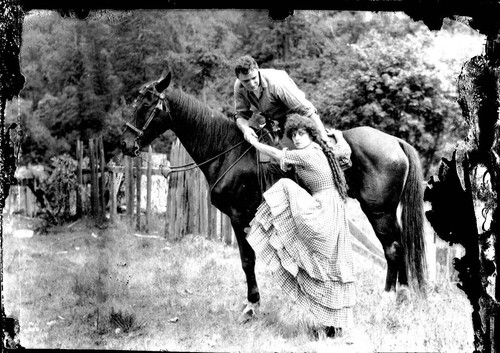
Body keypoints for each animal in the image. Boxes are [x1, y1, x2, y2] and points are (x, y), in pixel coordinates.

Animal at [120, 71, 426, 320]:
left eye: (146, 105)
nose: (125, 143)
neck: (227, 151)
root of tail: (395, 141)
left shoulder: (239, 216)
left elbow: (247, 260)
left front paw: (252, 305)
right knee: (401, 245)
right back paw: (403, 295)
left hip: (378, 211)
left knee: (393, 249)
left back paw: (389, 296)